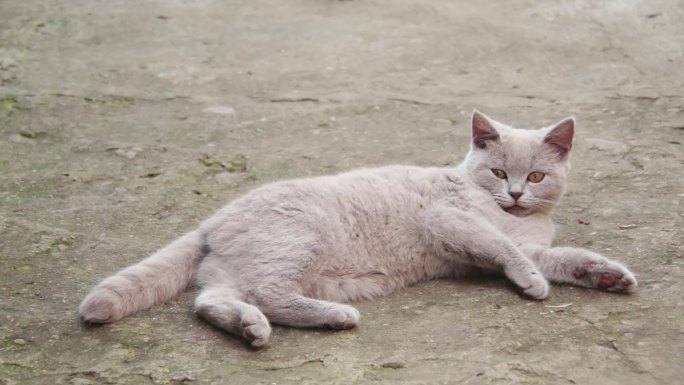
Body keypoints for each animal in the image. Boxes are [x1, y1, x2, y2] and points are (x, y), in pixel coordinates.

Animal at [79, 110, 636, 344]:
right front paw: (532, 281)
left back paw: (252, 328)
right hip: (296, 241)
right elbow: (505, 248)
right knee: (266, 292)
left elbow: (566, 257)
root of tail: (212, 220)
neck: (519, 218)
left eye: (536, 176)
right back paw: (334, 317)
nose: (517, 193)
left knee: (210, 301)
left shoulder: (535, 243)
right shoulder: (448, 219)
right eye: (500, 173)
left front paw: (607, 275)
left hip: (237, 269)